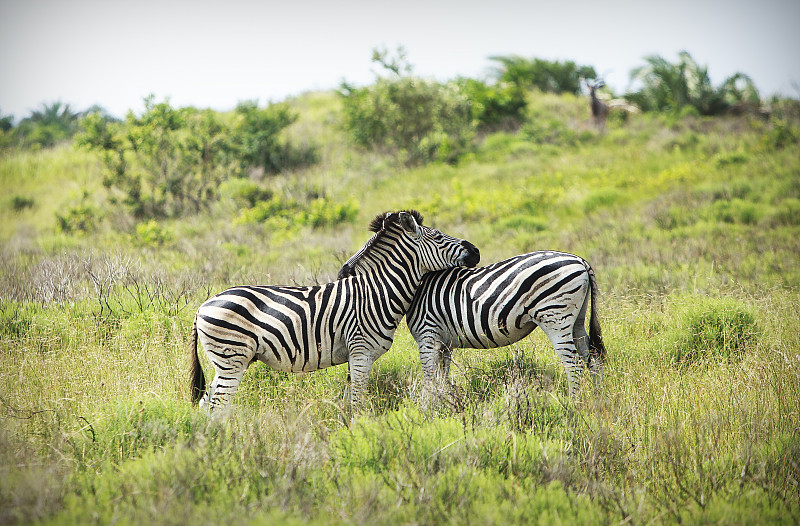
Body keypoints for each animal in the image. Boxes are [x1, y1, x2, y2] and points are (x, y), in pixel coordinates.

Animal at [190, 210, 478, 412]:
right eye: (439, 237)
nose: (475, 250)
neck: (378, 292)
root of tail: (203, 306)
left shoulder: (355, 354)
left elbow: (351, 399)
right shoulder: (361, 351)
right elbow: (358, 401)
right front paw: (360, 432)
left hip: (229, 361)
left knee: (207, 404)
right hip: (232, 358)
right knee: (217, 405)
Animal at [406, 251, 608, 396]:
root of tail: (581, 261)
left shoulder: (428, 335)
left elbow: (430, 378)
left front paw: (431, 409)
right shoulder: (444, 343)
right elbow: (442, 377)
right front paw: (445, 402)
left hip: (555, 317)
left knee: (573, 363)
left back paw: (574, 404)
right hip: (577, 319)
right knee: (591, 357)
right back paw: (598, 399)